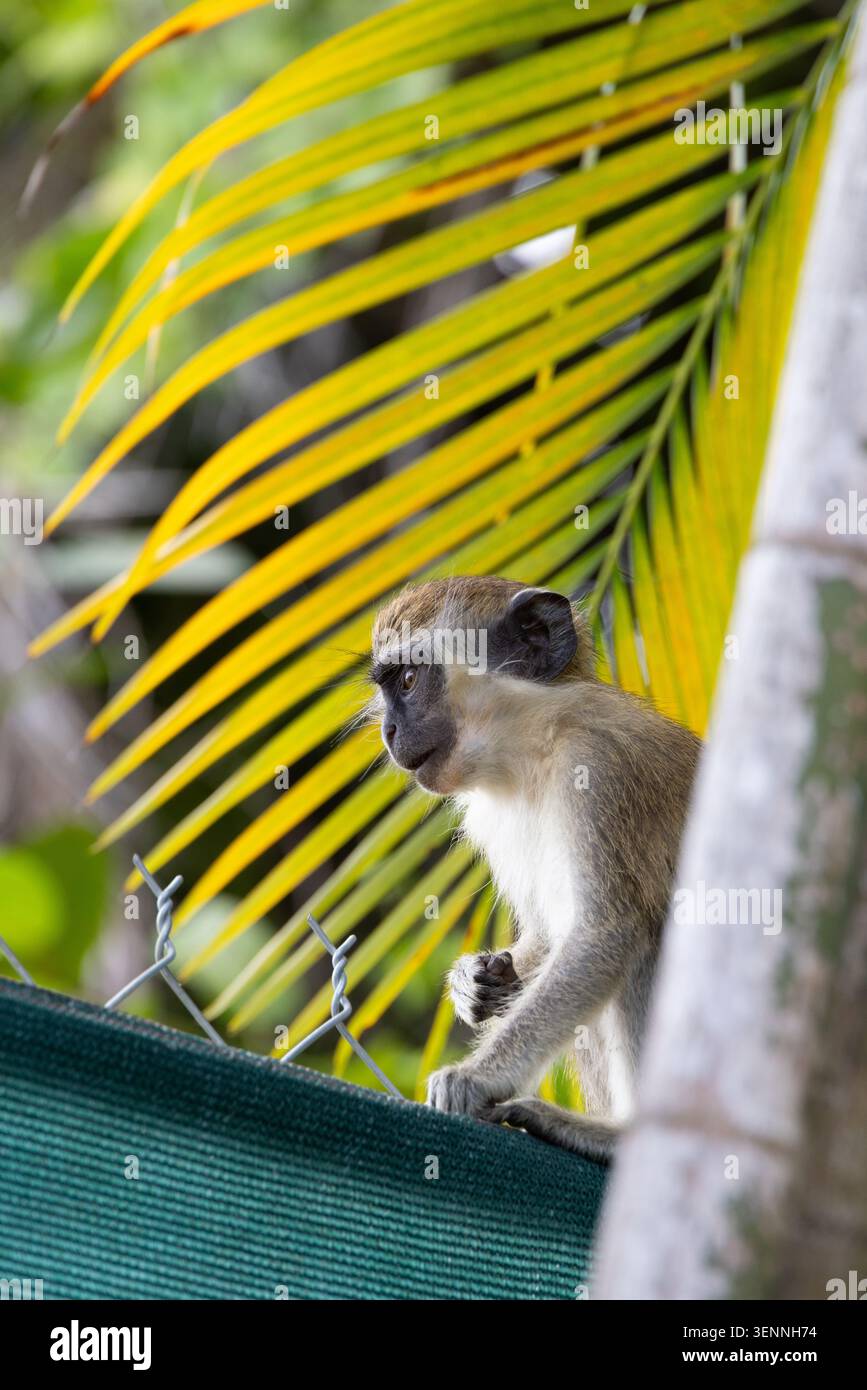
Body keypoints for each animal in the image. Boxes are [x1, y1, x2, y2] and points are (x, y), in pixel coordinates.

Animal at [368, 576, 701, 1161]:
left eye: (408, 680)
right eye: (388, 687)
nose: (387, 730)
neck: (532, 747)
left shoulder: (598, 765)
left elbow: (604, 933)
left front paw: (476, 1078)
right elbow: (550, 937)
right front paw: (473, 982)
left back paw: (618, 1137)